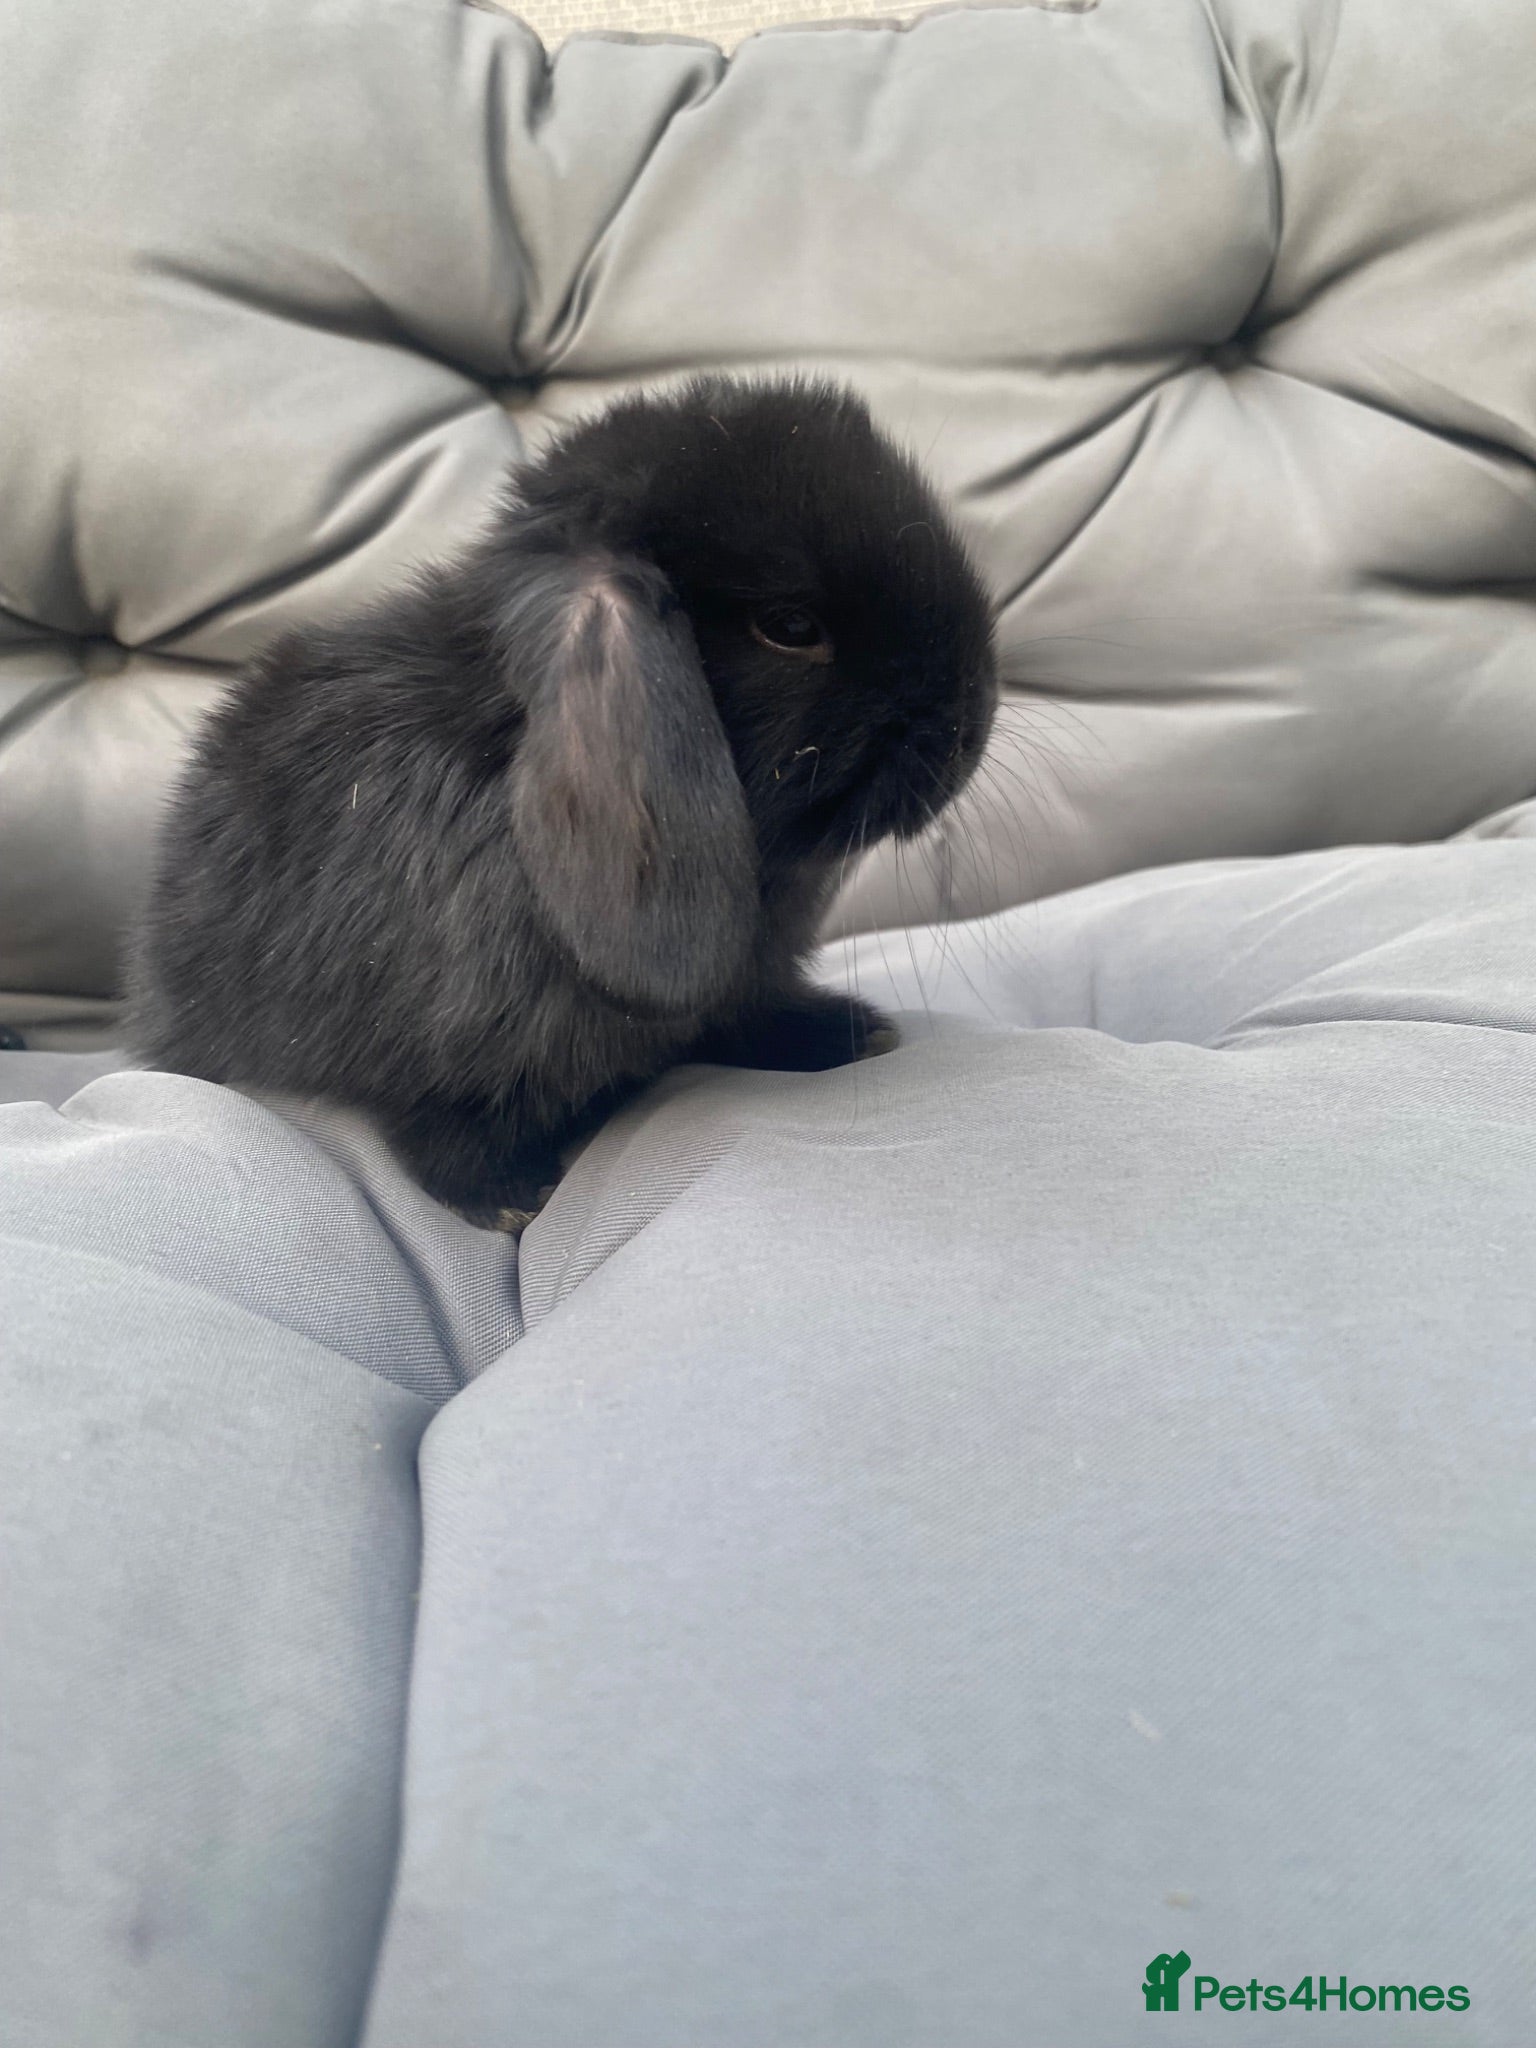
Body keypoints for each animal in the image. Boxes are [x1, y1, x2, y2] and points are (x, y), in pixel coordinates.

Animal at [127, 374, 997, 1228]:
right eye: (789, 625)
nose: (969, 725)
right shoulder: (440, 1053)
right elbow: (439, 1122)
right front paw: (511, 1197)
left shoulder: (740, 990)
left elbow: (744, 1016)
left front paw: (846, 1032)